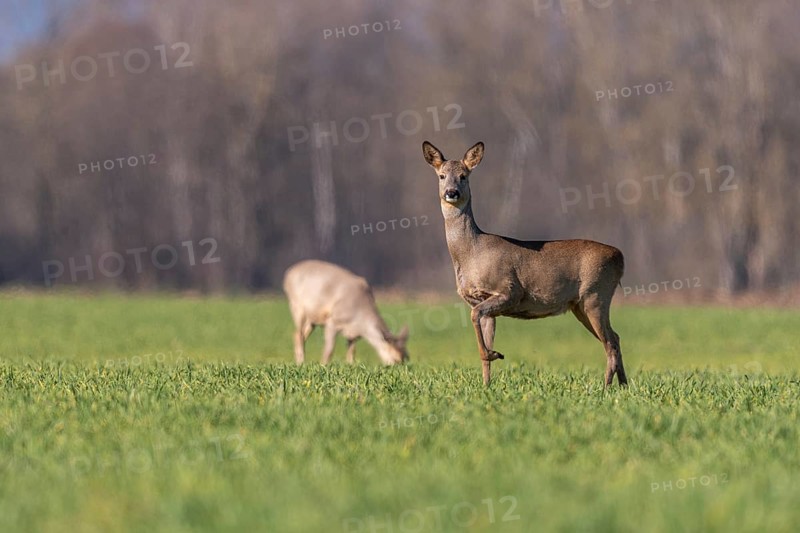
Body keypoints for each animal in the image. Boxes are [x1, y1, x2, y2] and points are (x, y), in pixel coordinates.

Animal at [421, 141, 628, 387]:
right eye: (441, 175)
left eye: (464, 176)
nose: (451, 193)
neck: (471, 252)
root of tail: (620, 257)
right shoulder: (482, 302)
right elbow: (483, 334)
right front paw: (486, 384)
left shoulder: (509, 290)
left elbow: (475, 319)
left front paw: (493, 354)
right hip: (580, 305)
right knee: (616, 337)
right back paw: (623, 386)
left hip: (595, 295)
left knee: (610, 343)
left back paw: (606, 388)